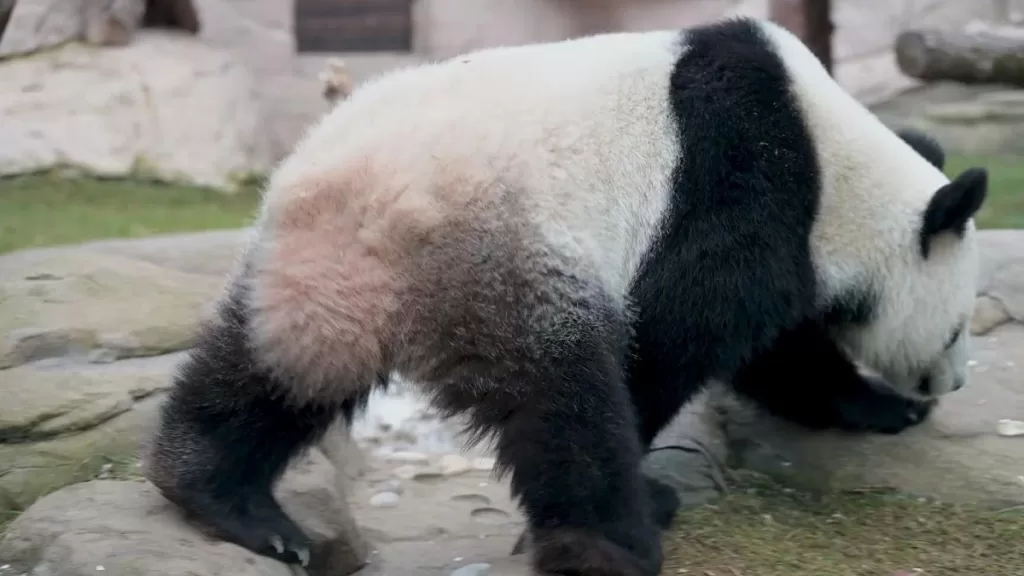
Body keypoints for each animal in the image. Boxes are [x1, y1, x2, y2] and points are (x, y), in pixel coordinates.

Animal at [143, 16, 987, 576]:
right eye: (957, 330)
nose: (955, 382)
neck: (838, 165)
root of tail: (360, 206)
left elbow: (773, 349)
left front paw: (881, 404)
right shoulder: (745, 182)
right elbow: (696, 331)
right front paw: (890, 403)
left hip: (316, 275)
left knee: (272, 374)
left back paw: (225, 497)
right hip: (503, 261)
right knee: (566, 402)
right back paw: (613, 538)